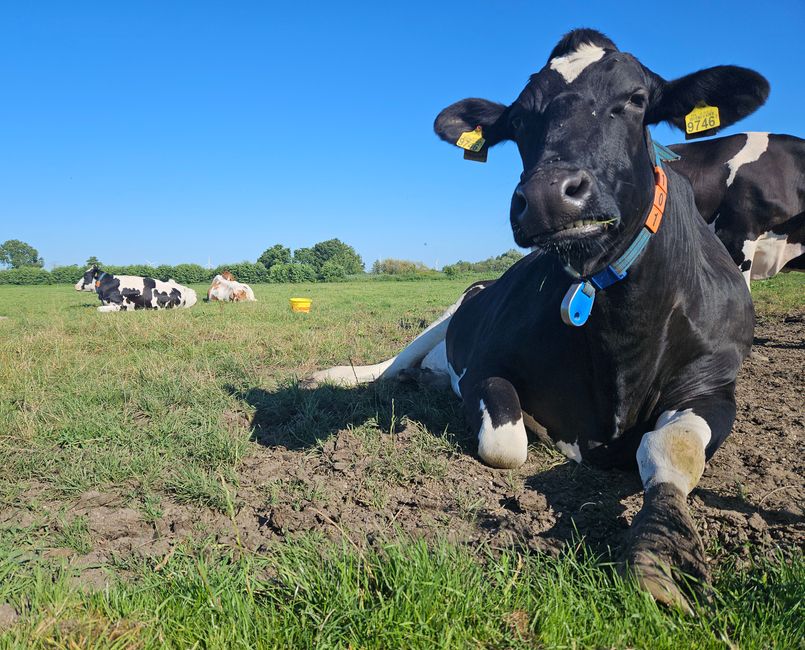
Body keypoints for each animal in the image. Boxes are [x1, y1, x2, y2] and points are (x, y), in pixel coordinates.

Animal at [314, 27, 768, 612]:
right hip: (450, 314)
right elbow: (506, 444)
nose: (550, 196)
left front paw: (663, 548)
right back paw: (353, 375)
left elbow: (671, 448)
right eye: (519, 121)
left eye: (635, 99)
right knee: (392, 365)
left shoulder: (714, 382)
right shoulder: (486, 364)